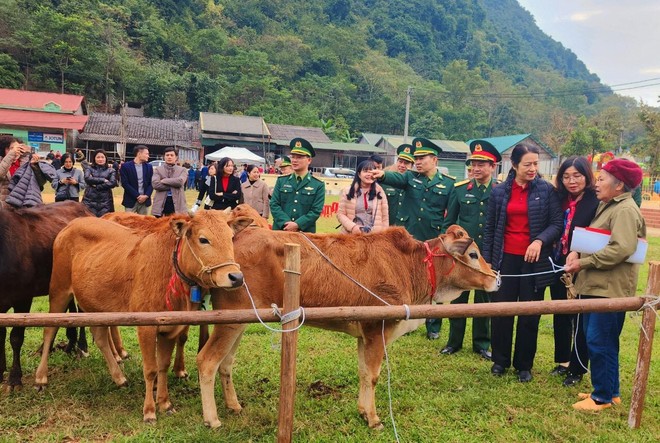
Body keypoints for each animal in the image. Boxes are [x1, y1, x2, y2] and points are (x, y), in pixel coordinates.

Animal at [36, 211, 253, 424]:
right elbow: (150, 369)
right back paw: (41, 377)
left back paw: (119, 377)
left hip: (95, 305)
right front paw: (149, 411)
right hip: (59, 291)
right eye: (203, 239)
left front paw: (165, 403)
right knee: (49, 331)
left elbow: (163, 365)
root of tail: (71, 225)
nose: (236, 277)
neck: (170, 270)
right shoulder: (146, 328)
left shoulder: (170, 329)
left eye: (230, 237)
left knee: (100, 336)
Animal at [199, 225, 498, 430]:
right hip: (231, 321)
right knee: (207, 361)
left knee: (226, 364)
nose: (496, 277)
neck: (409, 266)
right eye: (473, 254)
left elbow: (364, 373)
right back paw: (212, 419)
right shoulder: (378, 329)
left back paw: (234, 405)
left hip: (239, 323)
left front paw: (363, 411)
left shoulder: (365, 335)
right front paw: (375, 419)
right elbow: (374, 376)